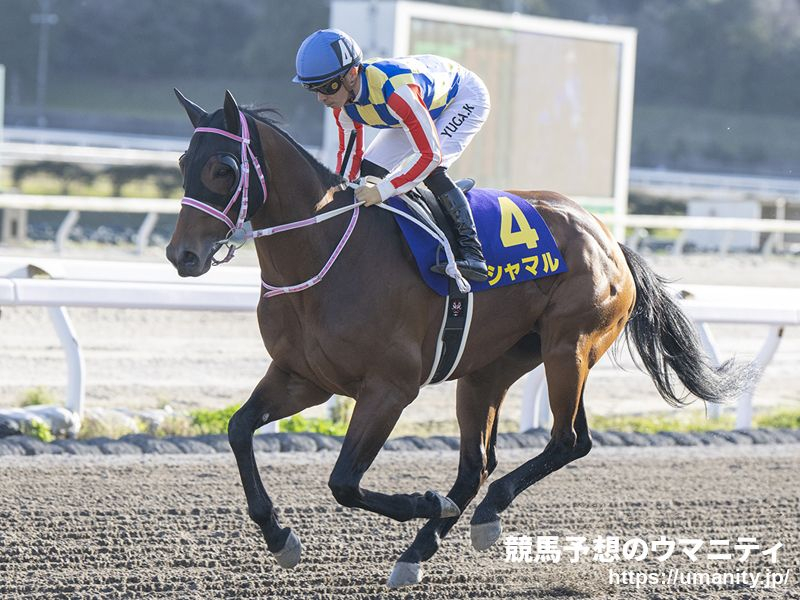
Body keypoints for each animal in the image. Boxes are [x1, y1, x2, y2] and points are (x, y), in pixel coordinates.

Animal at [166, 89, 755, 588]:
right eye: (181, 164)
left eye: (223, 168)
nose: (182, 255)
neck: (325, 252)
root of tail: (607, 237)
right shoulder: (303, 378)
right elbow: (239, 430)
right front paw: (279, 535)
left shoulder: (389, 390)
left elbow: (344, 482)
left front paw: (424, 501)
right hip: (489, 368)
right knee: (479, 464)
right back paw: (419, 551)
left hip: (570, 347)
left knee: (567, 440)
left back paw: (485, 513)